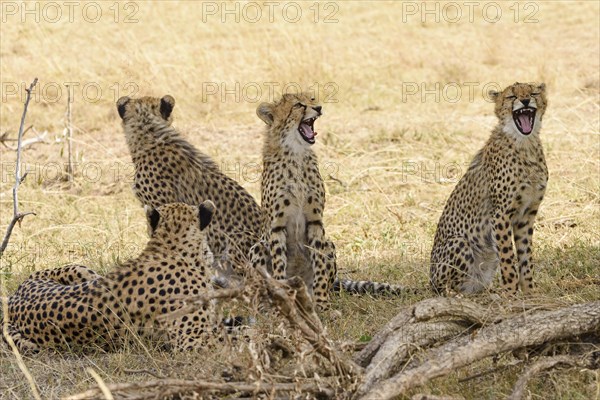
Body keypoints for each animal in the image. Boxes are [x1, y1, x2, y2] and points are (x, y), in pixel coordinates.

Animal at [432, 82, 548, 294]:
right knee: (448, 288)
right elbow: (508, 257)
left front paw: (529, 291)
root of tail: (429, 280)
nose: (525, 100)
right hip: (459, 242)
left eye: (533, 92)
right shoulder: (500, 214)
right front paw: (510, 292)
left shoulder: (527, 214)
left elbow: (526, 255)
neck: (525, 144)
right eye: (512, 96)